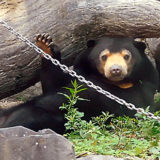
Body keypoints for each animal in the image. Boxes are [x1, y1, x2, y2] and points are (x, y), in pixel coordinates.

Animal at [0, 34, 158, 134]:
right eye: (104, 56)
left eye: (126, 56)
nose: (115, 70)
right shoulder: (80, 73)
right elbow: (54, 84)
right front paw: (45, 44)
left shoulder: (145, 86)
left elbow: (131, 104)